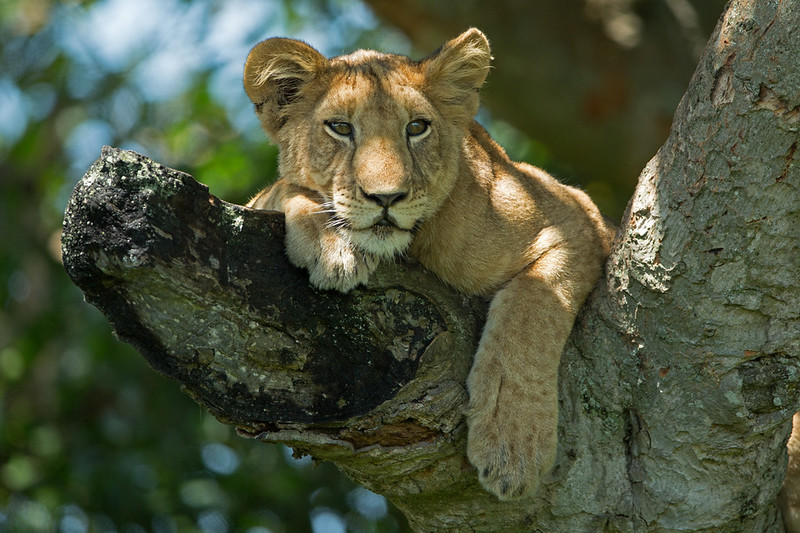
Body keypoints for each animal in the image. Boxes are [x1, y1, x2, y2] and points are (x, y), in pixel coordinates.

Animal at [241, 27, 616, 496]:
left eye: (416, 127)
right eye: (340, 128)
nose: (386, 197)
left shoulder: (576, 215)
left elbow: (533, 310)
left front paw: (513, 445)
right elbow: (284, 187)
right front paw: (333, 246)